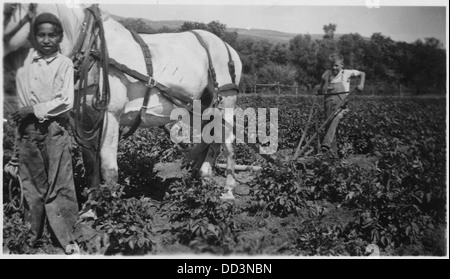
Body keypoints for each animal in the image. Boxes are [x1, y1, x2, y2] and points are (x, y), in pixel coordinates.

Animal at [3, 3, 243, 198]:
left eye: (9, 9)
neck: (92, 49)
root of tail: (228, 47)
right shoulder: (85, 119)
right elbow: (90, 164)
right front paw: (91, 208)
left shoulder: (110, 116)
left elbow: (108, 167)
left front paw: (113, 210)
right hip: (197, 108)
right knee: (211, 138)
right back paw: (202, 176)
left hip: (226, 103)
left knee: (228, 142)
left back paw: (228, 189)